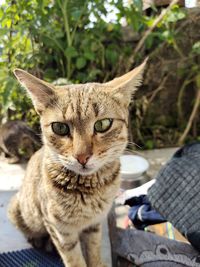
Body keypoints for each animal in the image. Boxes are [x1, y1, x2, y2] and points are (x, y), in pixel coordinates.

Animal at [8, 60, 145, 267]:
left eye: (103, 124)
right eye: (59, 127)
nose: (82, 156)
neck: (89, 190)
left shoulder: (95, 223)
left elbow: (94, 248)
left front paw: (96, 262)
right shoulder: (59, 229)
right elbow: (74, 258)